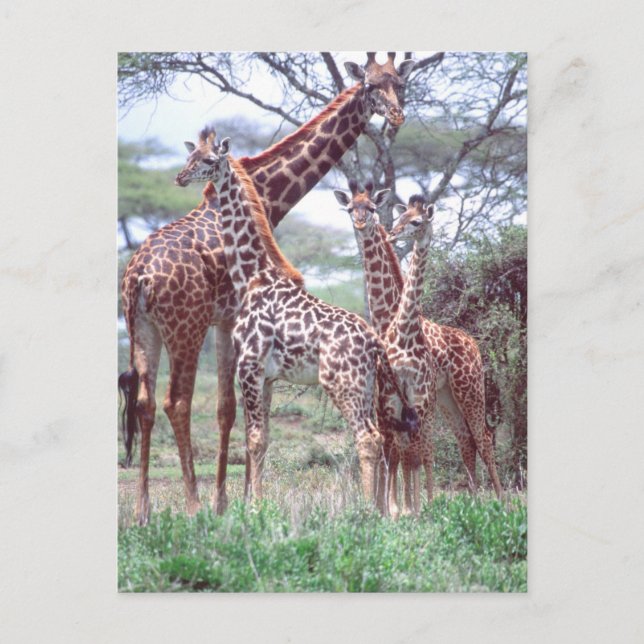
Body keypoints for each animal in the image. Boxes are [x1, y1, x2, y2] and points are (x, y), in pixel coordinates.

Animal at [175, 133, 419, 504]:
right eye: (190, 156)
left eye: (208, 161)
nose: (181, 177)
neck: (252, 276)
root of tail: (374, 341)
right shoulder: (268, 377)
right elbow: (262, 441)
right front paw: (255, 501)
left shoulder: (249, 366)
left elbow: (254, 440)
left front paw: (256, 506)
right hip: (367, 386)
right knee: (380, 437)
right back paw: (378, 508)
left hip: (342, 383)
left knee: (367, 437)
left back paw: (365, 509)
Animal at [334, 183, 503, 504]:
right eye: (349, 208)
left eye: (371, 208)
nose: (362, 224)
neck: (388, 317)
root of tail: (473, 343)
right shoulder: (385, 399)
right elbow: (393, 452)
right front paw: (387, 506)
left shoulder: (414, 400)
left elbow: (411, 452)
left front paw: (404, 506)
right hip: (447, 398)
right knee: (465, 440)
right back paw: (475, 499)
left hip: (469, 390)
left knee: (481, 437)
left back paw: (501, 502)